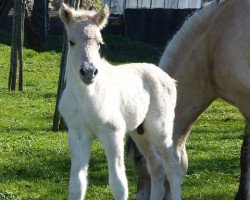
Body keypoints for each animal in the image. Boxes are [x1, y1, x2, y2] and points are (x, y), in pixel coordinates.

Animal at [58, 3, 182, 200]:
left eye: (100, 43)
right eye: (71, 42)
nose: (88, 72)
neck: (86, 96)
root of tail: (168, 78)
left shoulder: (113, 132)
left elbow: (118, 184)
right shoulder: (78, 134)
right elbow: (76, 184)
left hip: (159, 129)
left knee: (173, 167)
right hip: (139, 133)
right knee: (156, 167)